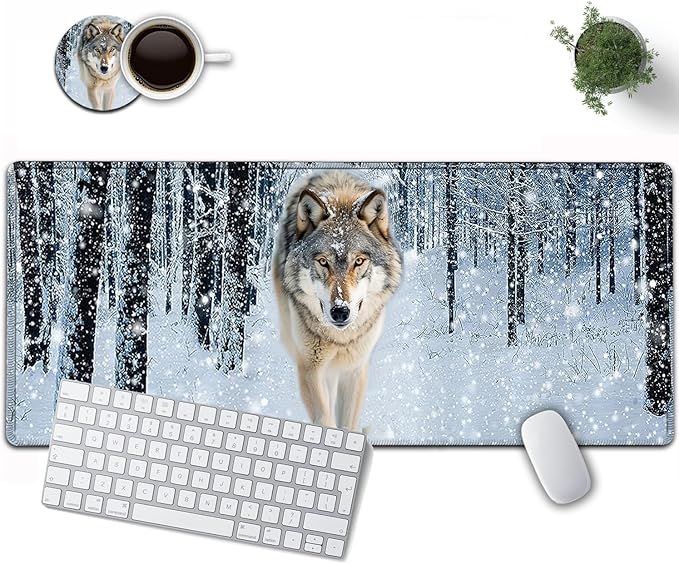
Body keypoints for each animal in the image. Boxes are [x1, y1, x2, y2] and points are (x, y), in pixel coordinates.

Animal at [273, 171, 403, 431]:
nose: (340, 311)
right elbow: (325, 420)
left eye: (359, 261)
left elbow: (347, 425)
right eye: (323, 262)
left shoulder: (355, 369)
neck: (340, 338)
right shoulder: (310, 367)